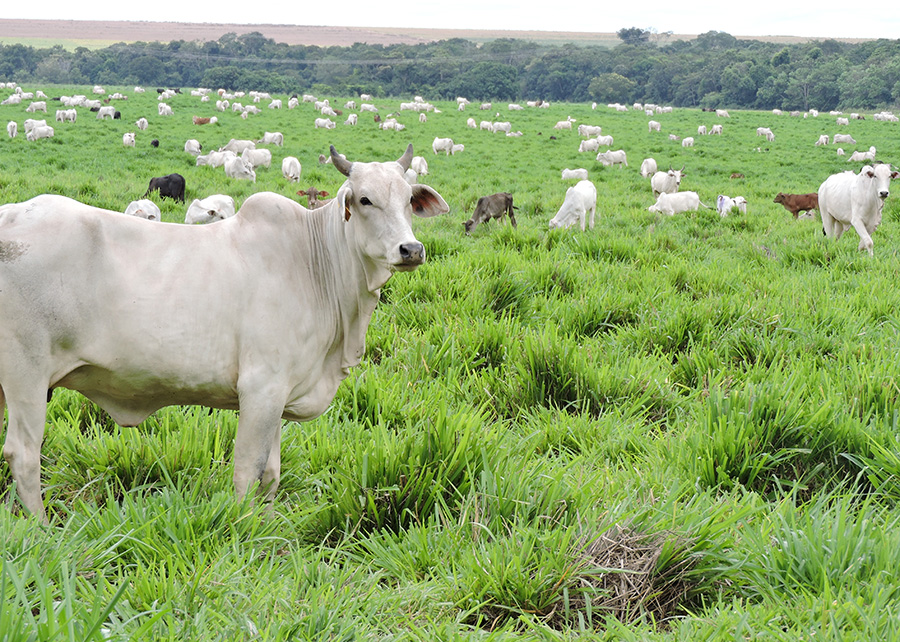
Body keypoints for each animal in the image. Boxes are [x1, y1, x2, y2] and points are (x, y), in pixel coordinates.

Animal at [0, 144, 450, 520]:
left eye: (408, 201)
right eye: (364, 199)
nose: (411, 250)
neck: (315, 262)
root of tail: (11, 212)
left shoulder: (279, 394)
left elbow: (271, 474)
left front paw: (265, 525)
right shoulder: (261, 388)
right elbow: (248, 470)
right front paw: (243, 527)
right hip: (27, 375)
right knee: (23, 454)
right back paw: (41, 527)